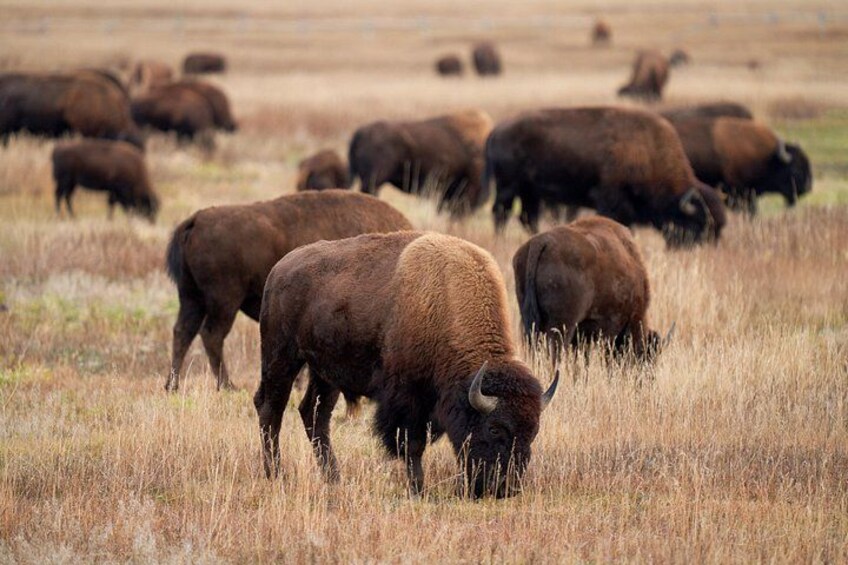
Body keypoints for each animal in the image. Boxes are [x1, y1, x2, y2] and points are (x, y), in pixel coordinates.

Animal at [165, 190, 412, 392]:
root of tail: (197, 220)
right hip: (224, 301)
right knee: (211, 335)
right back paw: (227, 386)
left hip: (191, 297)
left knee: (183, 332)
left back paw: (172, 386)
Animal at [256, 231, 558, 497]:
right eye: (494, 428)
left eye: (533, 431)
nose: (505, 489)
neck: (446, 301)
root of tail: (278, 270)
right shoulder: (407, 399)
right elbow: (412, 445)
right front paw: (419, 490)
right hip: (281, 357)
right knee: (270, 409)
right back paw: (275, 474)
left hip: (326, 374)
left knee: (315, 415)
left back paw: (333, 478)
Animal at [485, 106, 720, 246]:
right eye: (698, 223)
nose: (705, 248)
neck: (648, 150)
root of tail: (496, 131)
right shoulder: (610, 200)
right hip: (508, 185)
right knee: (501, 212)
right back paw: (500, 239)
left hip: (530, 191)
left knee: (527, 216)